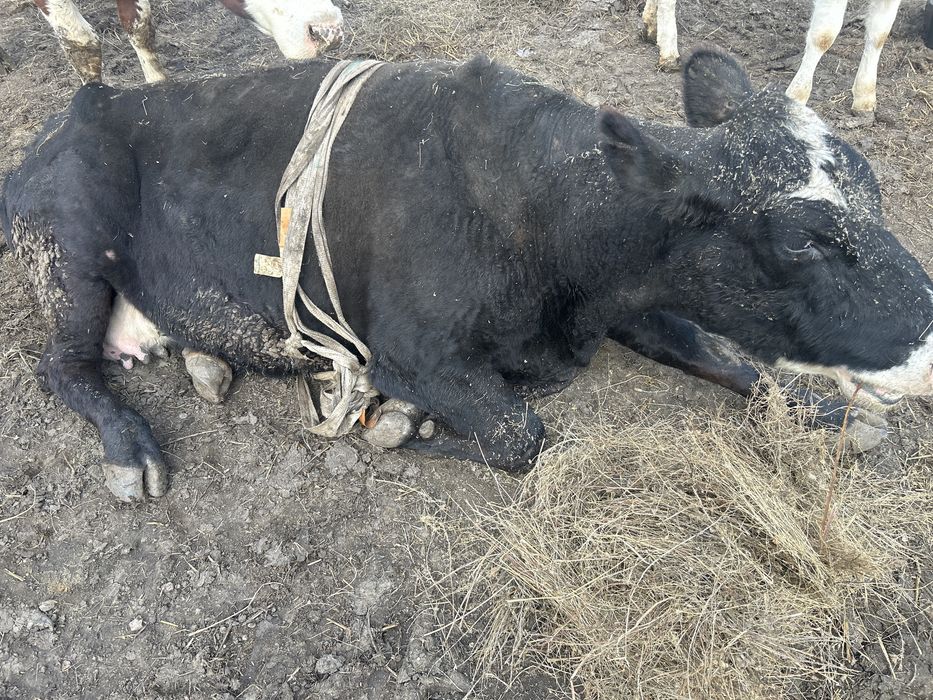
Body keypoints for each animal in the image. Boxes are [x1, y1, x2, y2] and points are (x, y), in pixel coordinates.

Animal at [3, 48, 933, 502]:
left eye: (876, 192)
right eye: (804, 240)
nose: (927, 335)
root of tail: (68, 115)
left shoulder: (632, 297)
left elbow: (721, 355)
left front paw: (825, 412)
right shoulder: (411, 351)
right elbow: (523, 435)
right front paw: (400, 426)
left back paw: (204, 359)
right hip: (72, 247)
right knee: (61, 366)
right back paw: (130, 450)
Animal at [642, 0, 907, 112]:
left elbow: (880, 32)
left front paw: (865, 96)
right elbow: (825, 34)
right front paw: (797, 96)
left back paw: (651, 25)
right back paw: (669, 50)